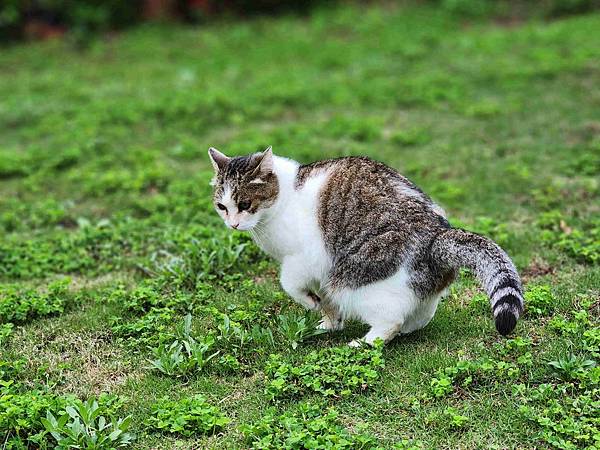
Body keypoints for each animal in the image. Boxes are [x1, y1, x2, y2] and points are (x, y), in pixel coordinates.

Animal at [209, 146, 524, 346]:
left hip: (353, 281)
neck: (283, 198)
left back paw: (365, 343)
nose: (233, 224)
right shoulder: (320, 273)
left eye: (245, 204)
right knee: (421, 311)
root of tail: (437, 233)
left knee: (391, 319)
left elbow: (290, 284)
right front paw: (329, 323)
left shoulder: (304, 259)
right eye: (222, 207)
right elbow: (327, 304)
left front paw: (311, 303)